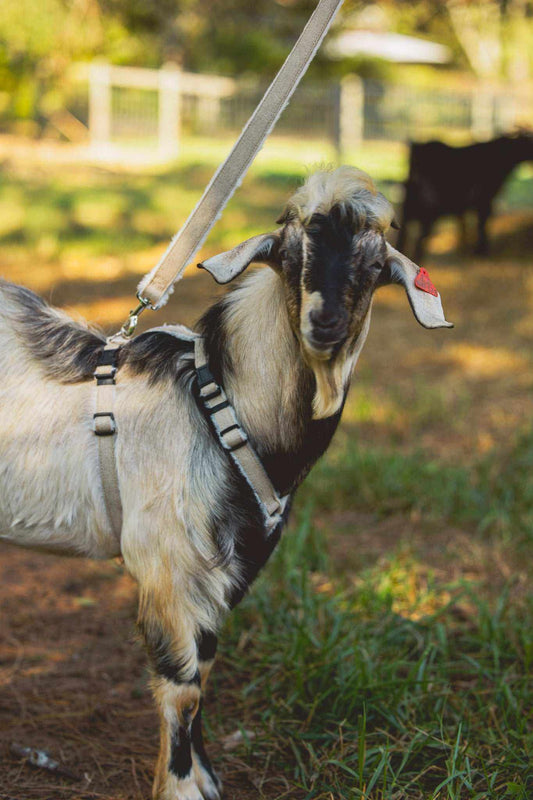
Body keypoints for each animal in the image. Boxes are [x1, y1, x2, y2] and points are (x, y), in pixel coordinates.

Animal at [0, 166, 452, 800]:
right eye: (289, 252)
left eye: (374, 260)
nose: (325, 324)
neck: (225, 403)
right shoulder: (168, 566)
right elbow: (183, 687)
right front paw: (182, 787)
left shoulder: (230, 566)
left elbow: (207, 668)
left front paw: (207, 779)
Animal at [398, 132, 533, 260]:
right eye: (528, 141)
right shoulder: (484, 200)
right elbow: (481, 224)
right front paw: (480, 251)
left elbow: (465, 227)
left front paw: (466, 250)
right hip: (428, 211)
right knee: (419, 239)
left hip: (409, 209)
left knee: (404, 235)